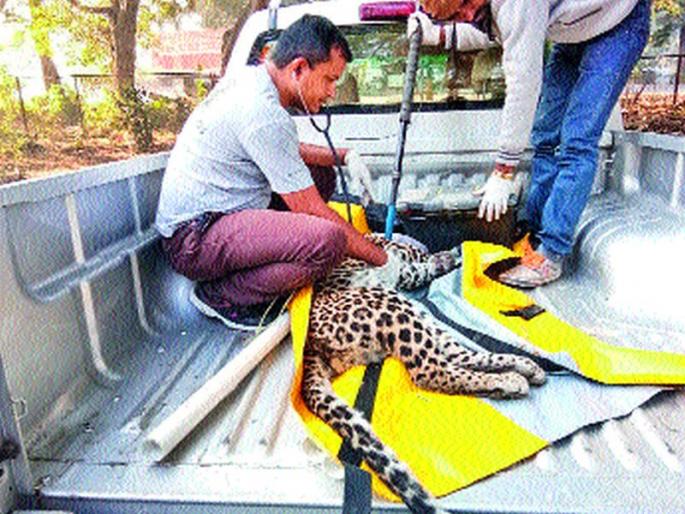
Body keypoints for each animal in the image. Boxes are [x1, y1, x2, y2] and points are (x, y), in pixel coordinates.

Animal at [301, 233, 546, 514]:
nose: (424, 252)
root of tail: (309, 349)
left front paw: (446, 256)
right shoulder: (402, 273)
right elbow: (421, 270)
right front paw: (447, 258)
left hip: (411, 312)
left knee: (457, 356)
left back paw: (524, 368)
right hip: (393, 307)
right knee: (431, 370)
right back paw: (512, 379)